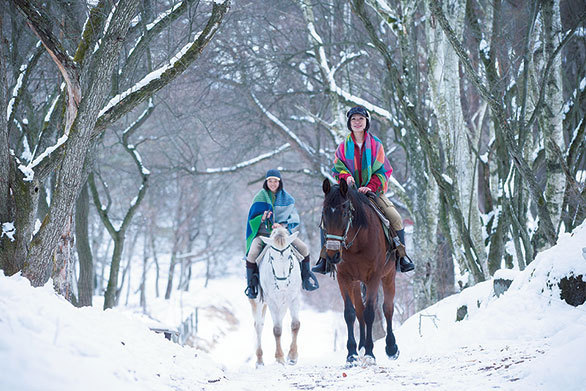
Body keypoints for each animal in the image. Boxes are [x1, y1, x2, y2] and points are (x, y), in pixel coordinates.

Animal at [248, 227, 302, 368]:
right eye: (271, 257)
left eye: (289, 256)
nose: (282, 282)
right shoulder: (272, 302)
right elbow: (277, 330)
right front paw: (279, 358)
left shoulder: (294, 298)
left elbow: (295, 325)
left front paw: (292, 357)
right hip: (258, 302)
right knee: (258, 326)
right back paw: (259, 361)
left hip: (282, 305)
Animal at [320, 179, 396, 366]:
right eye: (324, 213)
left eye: (345, 212)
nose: (332, 255)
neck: (358, 243)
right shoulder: (344, 278)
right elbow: (350, 313)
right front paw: (352, 354)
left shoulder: (374, 277)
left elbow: (370, 313)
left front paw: (370, 353)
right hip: (356, 283)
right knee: (359, 311)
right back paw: (360, 347)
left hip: (388, 276)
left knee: (387, 308)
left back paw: (391, 348)